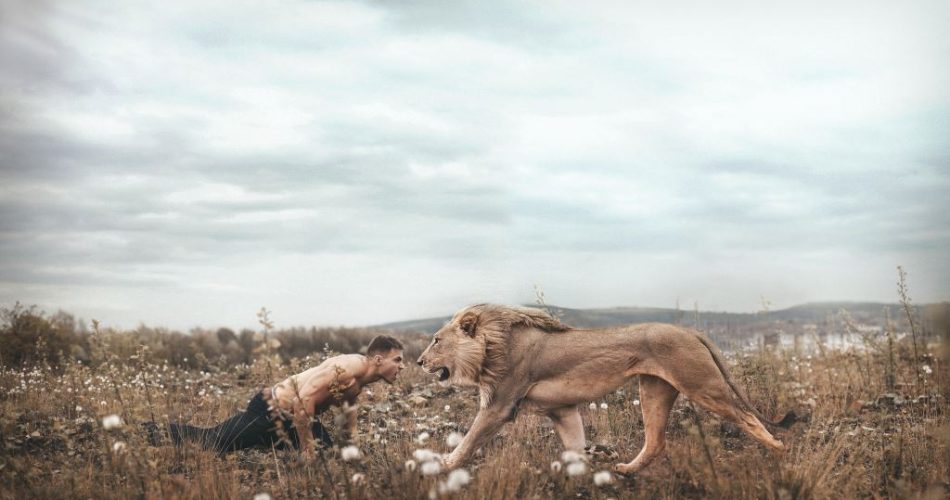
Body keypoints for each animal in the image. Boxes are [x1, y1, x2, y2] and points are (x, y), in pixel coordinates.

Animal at [416, 304, 794, 473]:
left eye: (436, 340)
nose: (418, 361)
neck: (491, 345)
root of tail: (690, 331)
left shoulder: (499, 405)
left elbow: (469, 439)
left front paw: (445, 464)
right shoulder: (562, 410)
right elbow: (574, 444)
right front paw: (579, 472)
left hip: (702, 384)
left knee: (748, 418)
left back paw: (779, 453)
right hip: (654, 389)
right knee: (655, 441)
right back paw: (625, 471)